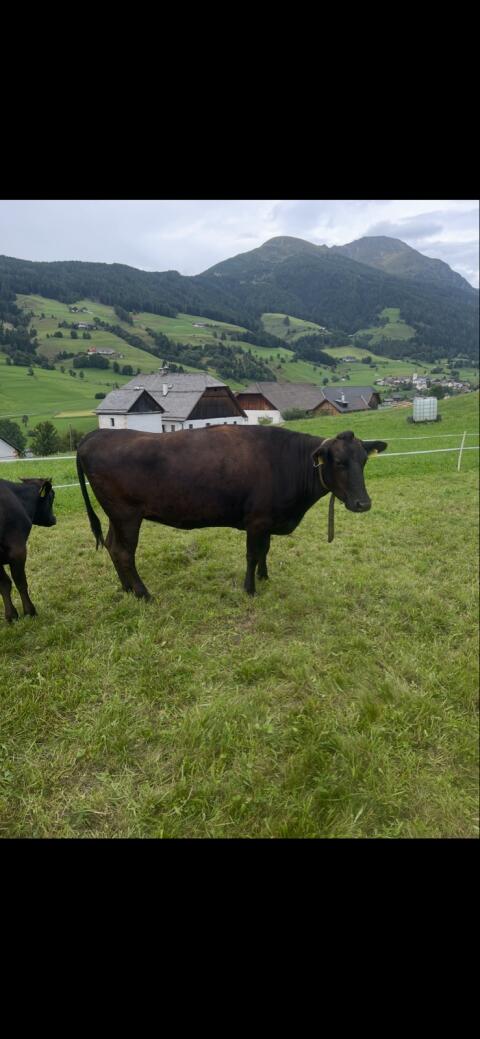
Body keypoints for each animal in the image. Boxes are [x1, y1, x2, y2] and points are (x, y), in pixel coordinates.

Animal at [0, 477, 57, 622]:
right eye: (52, 496)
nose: (54, 519)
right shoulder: (18, 549)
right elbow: (20, 582)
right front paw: (30, 611)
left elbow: (4, 584)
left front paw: (11, 616)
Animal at [76, 426, 387, 599]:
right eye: (338, 461)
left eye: (363, 461)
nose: (363, 503)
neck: (286, 462)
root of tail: (96, 435)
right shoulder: (257, 520)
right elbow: (252, 554)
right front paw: (250, 589)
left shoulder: (267, 520)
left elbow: (264, 550)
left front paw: (264, 577)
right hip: (127, 515)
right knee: (124, 552)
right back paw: (143, 594)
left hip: (116, 516)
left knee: (112, 546)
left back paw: (128, 589)